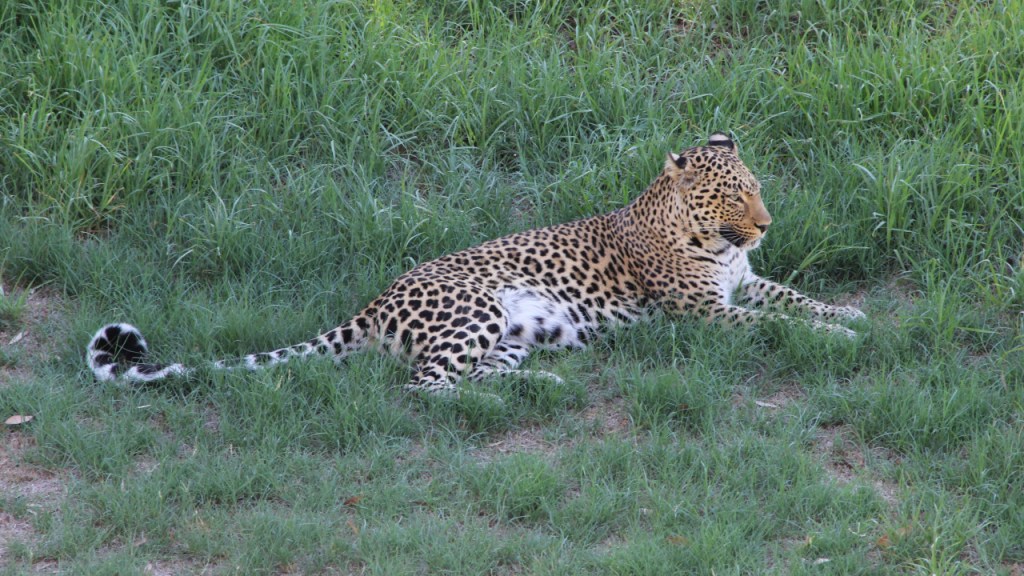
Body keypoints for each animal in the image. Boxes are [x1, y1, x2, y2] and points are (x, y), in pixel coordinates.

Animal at [88, 133, 865, 398]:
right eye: (733, 194)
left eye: (756, 187)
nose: (766, 224)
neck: (716, 244)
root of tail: (374, 302)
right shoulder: (707, 314)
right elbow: (774, 328)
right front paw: (843, 340)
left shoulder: (746, 284)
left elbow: (794, 300)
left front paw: (849, 313)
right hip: (477, 309)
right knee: (425, 387)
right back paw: (500, 402)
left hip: (523, 331)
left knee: (476, 370)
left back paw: (542, 384)